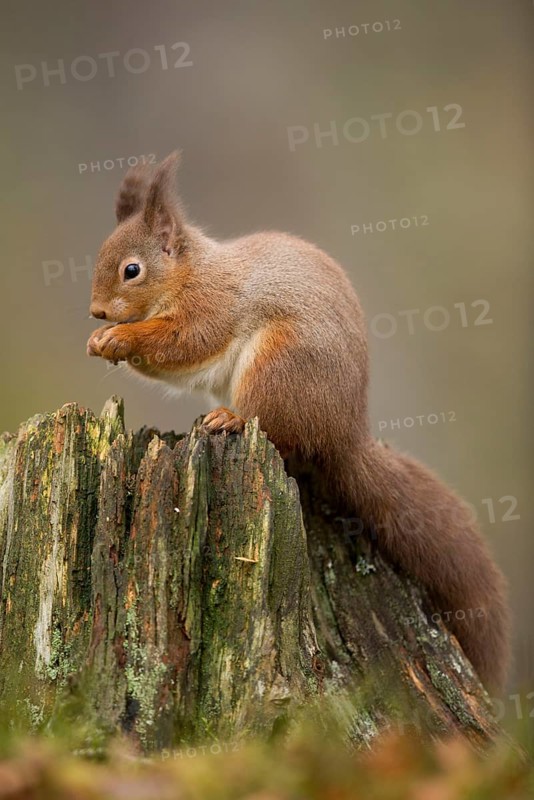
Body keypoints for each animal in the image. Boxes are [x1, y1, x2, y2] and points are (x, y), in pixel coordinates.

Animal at [87, 151, 510, 692]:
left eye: (132, 270)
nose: (97, 312)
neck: (192, 272)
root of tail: (344, 434)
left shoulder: (212, 306)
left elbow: (184, 342)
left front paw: (121, 338)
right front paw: (100, 341)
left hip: (278, 366)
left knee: (279, 433)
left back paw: (229, 418)